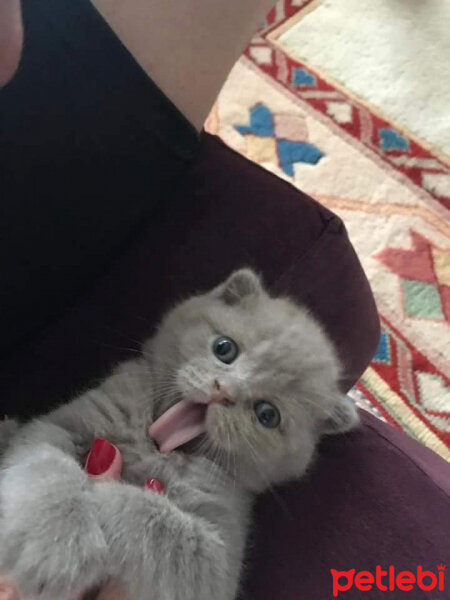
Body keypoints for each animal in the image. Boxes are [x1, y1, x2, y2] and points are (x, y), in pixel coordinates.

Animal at [0, 270, 358, 600]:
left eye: (267, 415)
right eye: (224, 348)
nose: (224, 391)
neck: (157, 449)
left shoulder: (219, 559)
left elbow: (159, 520)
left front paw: (102, 495)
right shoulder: (58, 426)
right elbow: (52, 468)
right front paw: (58, 548)